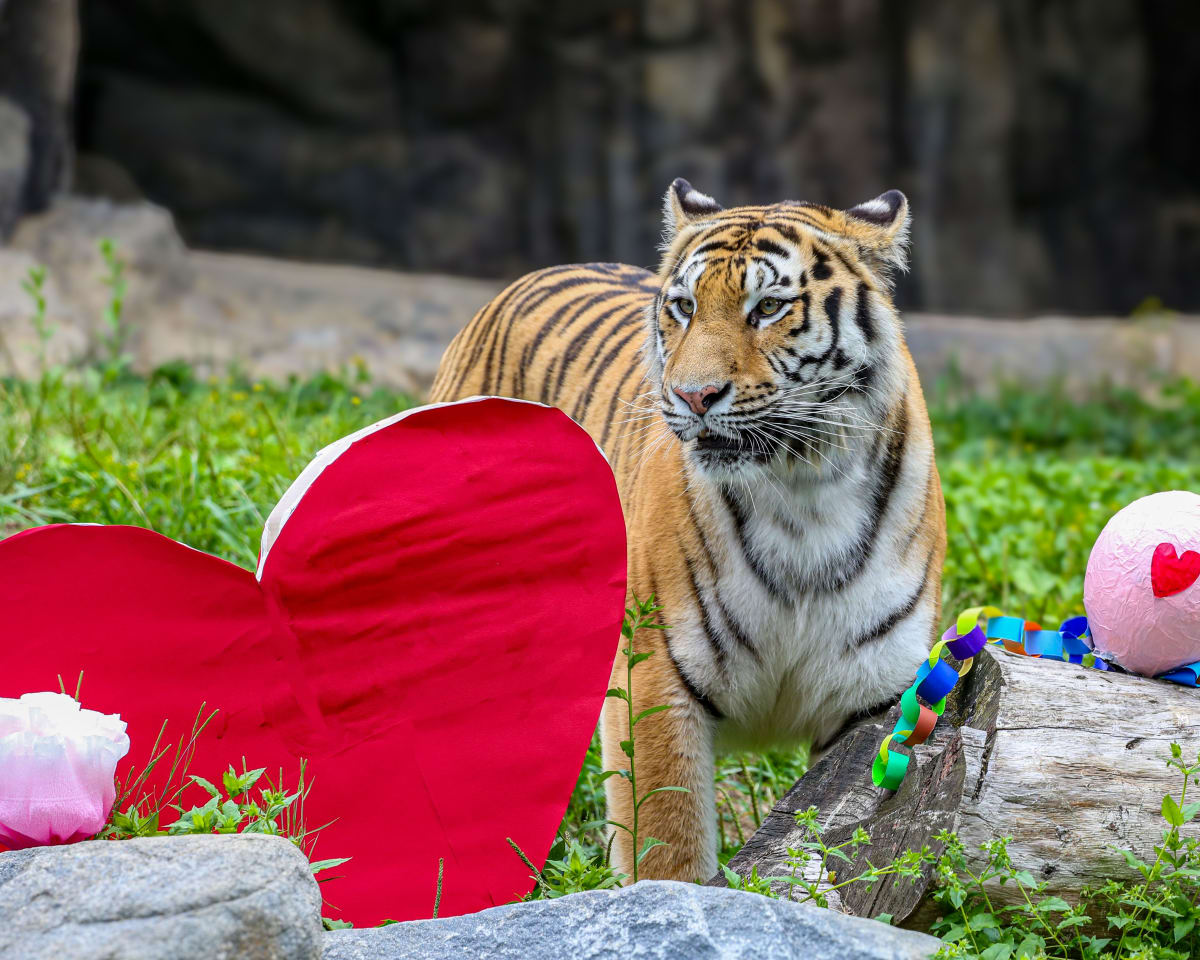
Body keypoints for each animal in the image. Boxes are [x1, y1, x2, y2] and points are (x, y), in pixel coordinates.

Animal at [428, 178, 946, 884]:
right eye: (683, 307)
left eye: (769, 307)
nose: (693, 396)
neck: (803, 490)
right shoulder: (655, 673)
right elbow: (667, 844)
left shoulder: (877, 694)